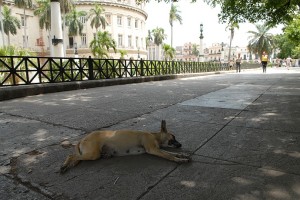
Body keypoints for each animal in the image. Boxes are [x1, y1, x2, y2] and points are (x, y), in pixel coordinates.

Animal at [60, 120, 190, 173]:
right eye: (173, 137)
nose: (180, 144)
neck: (154, 136)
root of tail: (82, 139)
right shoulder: (153, 149)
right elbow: (168, 155)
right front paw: (179, 159)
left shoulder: (157, 149)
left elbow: (170, 152)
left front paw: (182, 154)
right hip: (93, 154)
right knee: (71, 156)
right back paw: (64, 166)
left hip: (90, 154)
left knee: (75, 158)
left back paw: (67, 166)